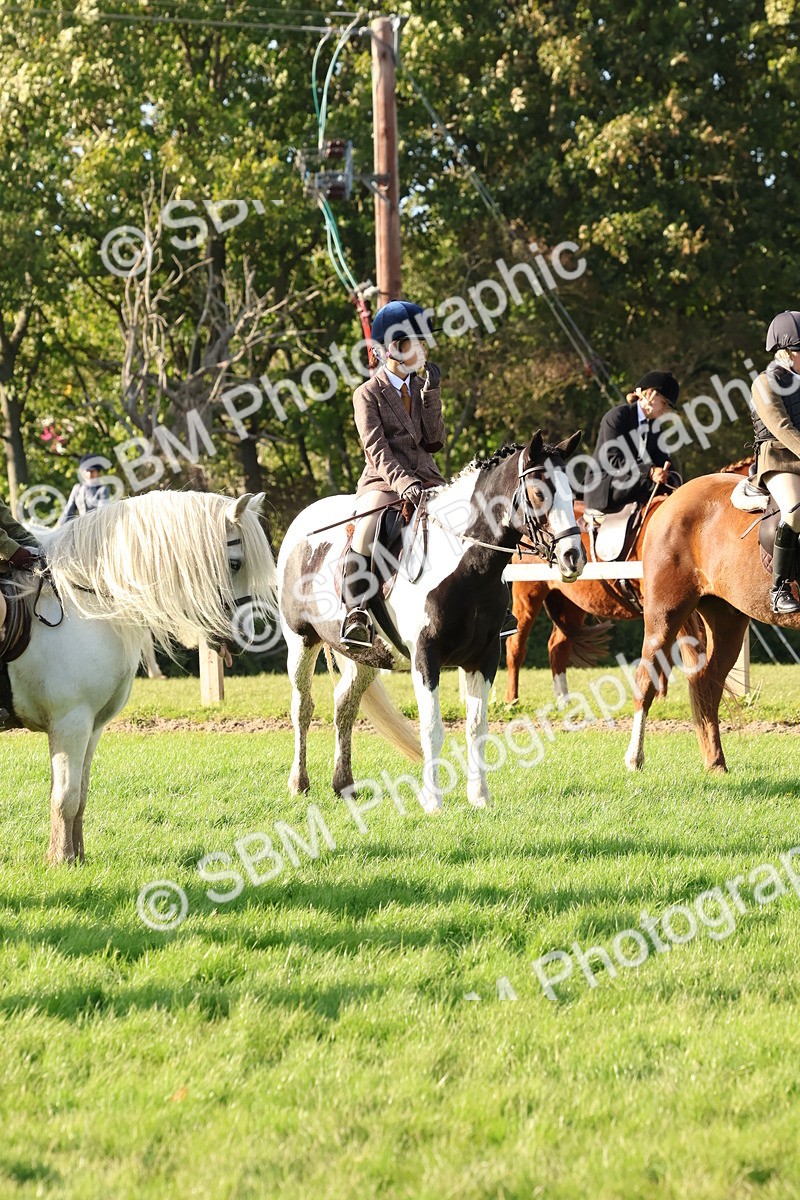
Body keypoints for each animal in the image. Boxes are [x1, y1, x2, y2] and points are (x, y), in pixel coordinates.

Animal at [3, 490, 276, 864]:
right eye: (235, 563)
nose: (244, 636)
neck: (83, 602)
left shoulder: (93, 726)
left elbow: (81, 795)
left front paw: (78, 859)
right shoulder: (70, 722)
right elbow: (66, 796)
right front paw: (61, 860)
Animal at [277, 431, 586, 812]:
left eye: (572, 491)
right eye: (539, 493)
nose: (573, 558)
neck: (467, 566)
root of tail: (301, 524)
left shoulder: (484, 658)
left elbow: (477, 727)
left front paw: (479, 797)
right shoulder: (426, 657)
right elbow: (432, 729)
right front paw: (433, 800)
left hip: (365, 657)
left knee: (344, 707)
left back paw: (344, 785)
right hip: (301, 642)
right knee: (302, 708)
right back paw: (299, 783)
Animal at [504, 457, 754, 708]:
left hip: (571, 605)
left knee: (557, 647)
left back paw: (564, 702)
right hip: (527, 595)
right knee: (516, 645)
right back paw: (512, 699)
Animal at [623, 469, 786, 774]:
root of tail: (671, 500)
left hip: (726, 619)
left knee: (707, 683)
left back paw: (715, 763)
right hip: (665, 614)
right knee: (646, 681)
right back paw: (634, 759)